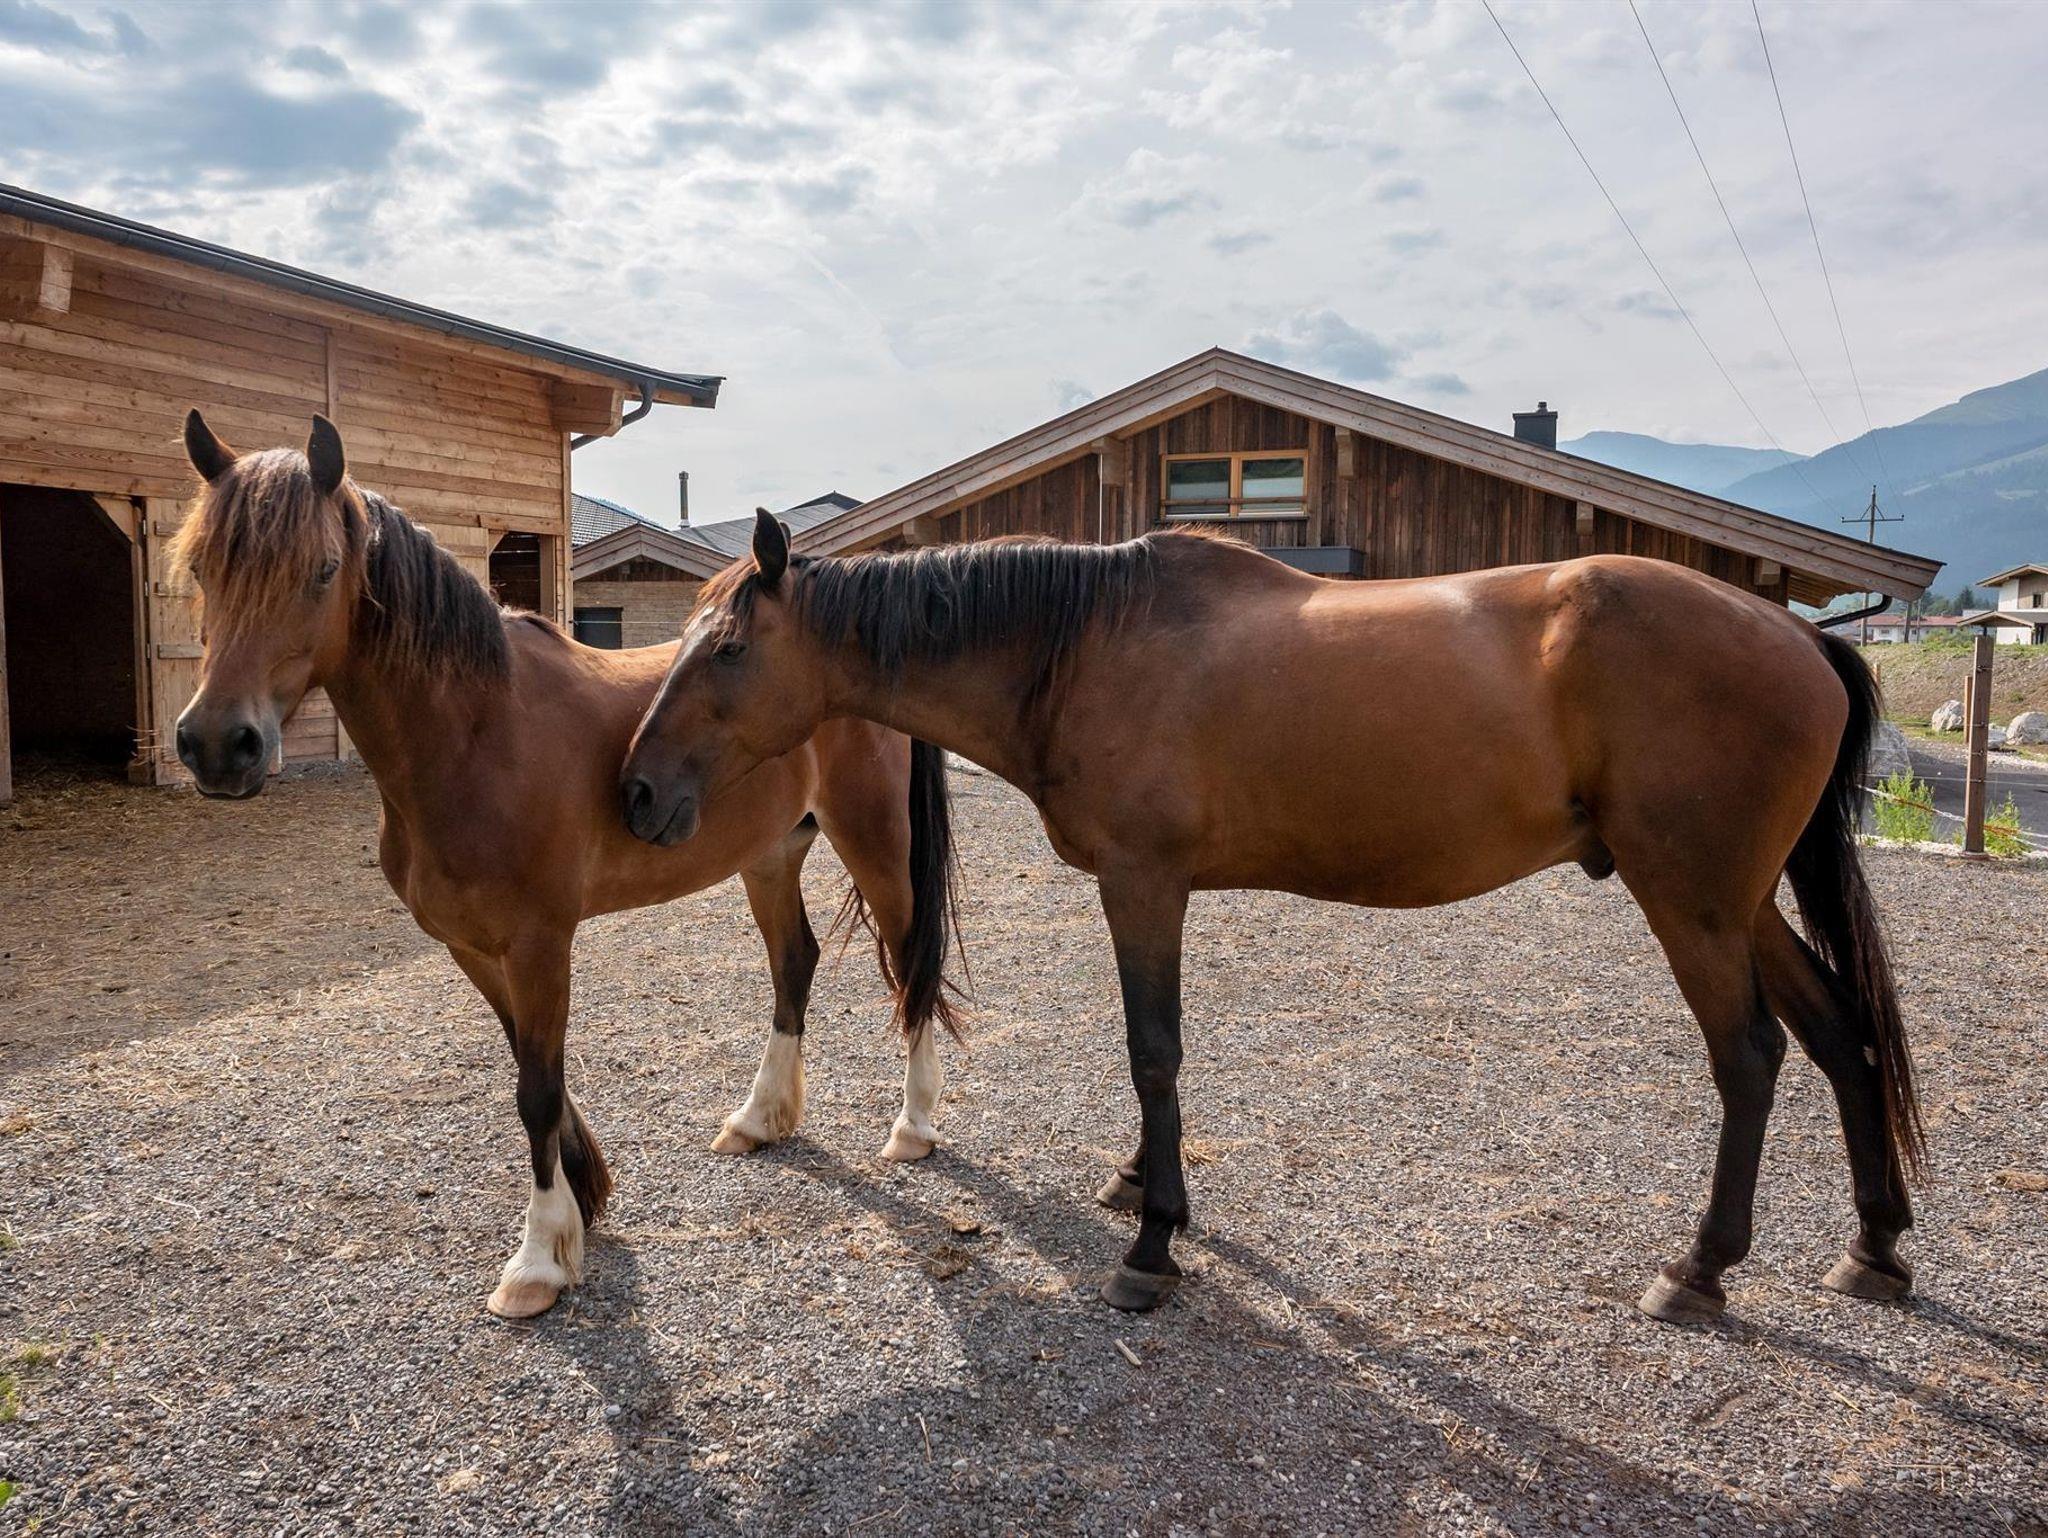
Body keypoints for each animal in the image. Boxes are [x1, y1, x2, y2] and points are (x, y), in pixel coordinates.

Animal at [171, 413, 961, 1319]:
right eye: (202, 567)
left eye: (323, 569)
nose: (217, 745)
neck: (478, 734)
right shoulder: (474, 948)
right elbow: (529, 1066)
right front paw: (585, 1196)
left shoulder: (540, 942)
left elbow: (537, 1089)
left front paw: (539, 1259)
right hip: (770, 856)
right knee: (795, 962)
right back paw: (760, 1118)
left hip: (875, 842)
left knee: (911, 963)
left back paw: (913, 1127)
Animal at [621, 511, 1923, 1325]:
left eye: (725, 646)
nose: (634, 789)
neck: (1084, 643)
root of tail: (1799, 633)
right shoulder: (1148, 890)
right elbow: (1150, 1060)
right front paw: (1138, 1186)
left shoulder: (1142, 883)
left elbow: (1152, 1051)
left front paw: (1152, 1244)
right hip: (1739, 900)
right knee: (1835, 1030)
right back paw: (1872, 1245)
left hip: (1690, 898)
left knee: (1749, 1054)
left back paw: (1697, 1269)